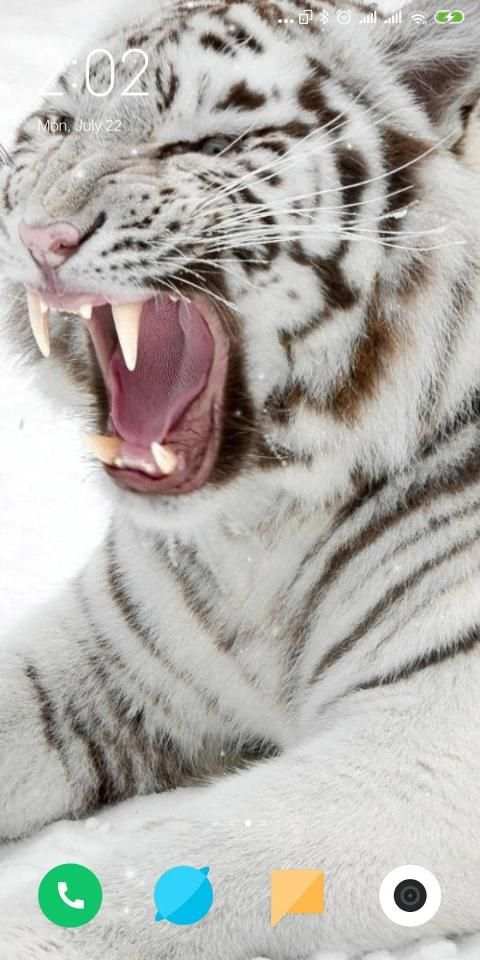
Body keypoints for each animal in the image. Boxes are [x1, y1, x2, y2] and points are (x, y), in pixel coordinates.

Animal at [1, 0, 480, 957]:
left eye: (200, 146)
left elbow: (163, 871)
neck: (258, 530)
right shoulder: (110, 654)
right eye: (59, 126)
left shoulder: (436, 735)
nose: (40, 238)